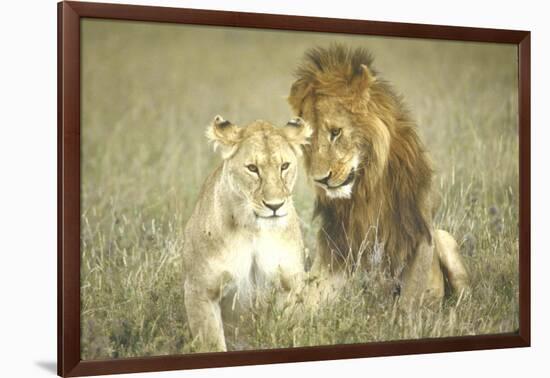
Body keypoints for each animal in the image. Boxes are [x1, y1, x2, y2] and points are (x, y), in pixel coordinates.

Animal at [181, 114, 310, 352]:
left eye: (284, 166)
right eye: (252, 168)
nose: (275, 206)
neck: (254, 230)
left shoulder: (290, 285)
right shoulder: (201, 291)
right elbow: (212, 343)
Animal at [286, 45, 472, 304]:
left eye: (336, 132)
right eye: (308, 140)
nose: (320, 180)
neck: (366, 185)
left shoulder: (421, 235)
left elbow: (409, 300)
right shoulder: (336, 249)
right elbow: (303, 300)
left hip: (445, 237)